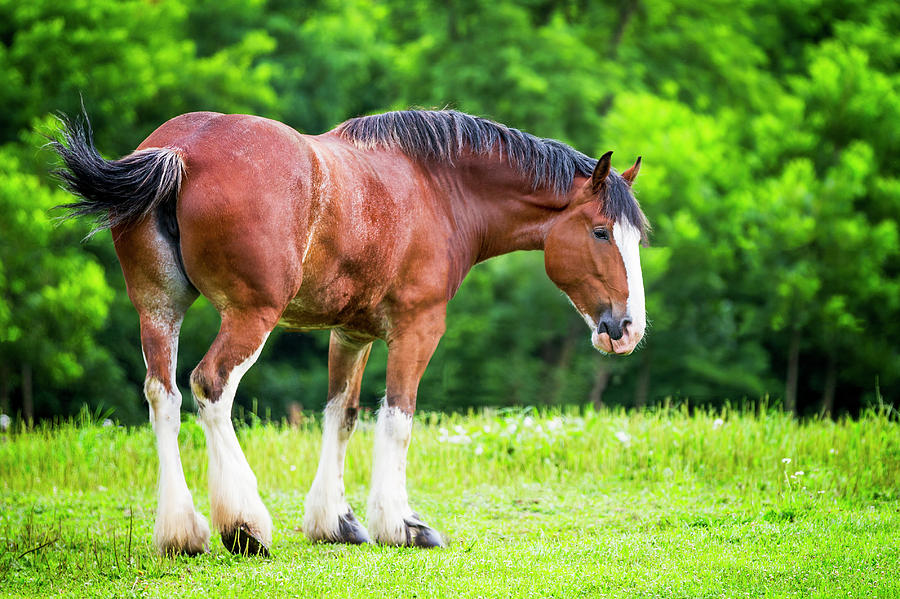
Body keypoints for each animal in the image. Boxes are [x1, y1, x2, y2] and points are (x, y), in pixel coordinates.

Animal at [54, 108, 648, 556]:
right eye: (600, 231)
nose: (626, 328)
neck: (436, 188)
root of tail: (181, 150)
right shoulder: (416, 329)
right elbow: (398, 418)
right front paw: (401, 525)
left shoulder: (350, 334)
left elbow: (342, 415)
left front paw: (334, 522)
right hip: (249, 315)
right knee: (210, 386)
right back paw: (244, 525)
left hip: (158, 310)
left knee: (164, 395)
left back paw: (181, 532)